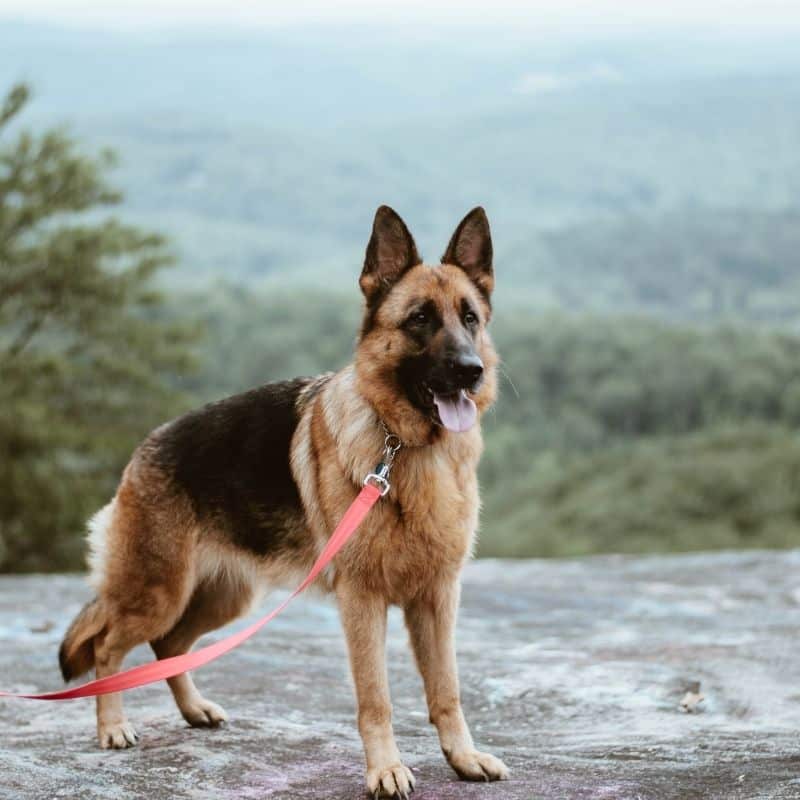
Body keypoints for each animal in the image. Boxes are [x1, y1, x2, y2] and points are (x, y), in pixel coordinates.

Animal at [62, 208, 512, 800]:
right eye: (419, 319)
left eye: (470, 318)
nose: (470, 370)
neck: (404, 448)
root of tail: (144, 449)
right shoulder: (363, 603)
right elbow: (376, 698)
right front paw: (385, 769)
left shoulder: (438, 600)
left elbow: (447, 690)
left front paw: (462, 757)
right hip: (157, 593)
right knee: (110, 648)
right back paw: (113, 726)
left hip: (224, 599)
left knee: (169, 646)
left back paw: (194, 709)